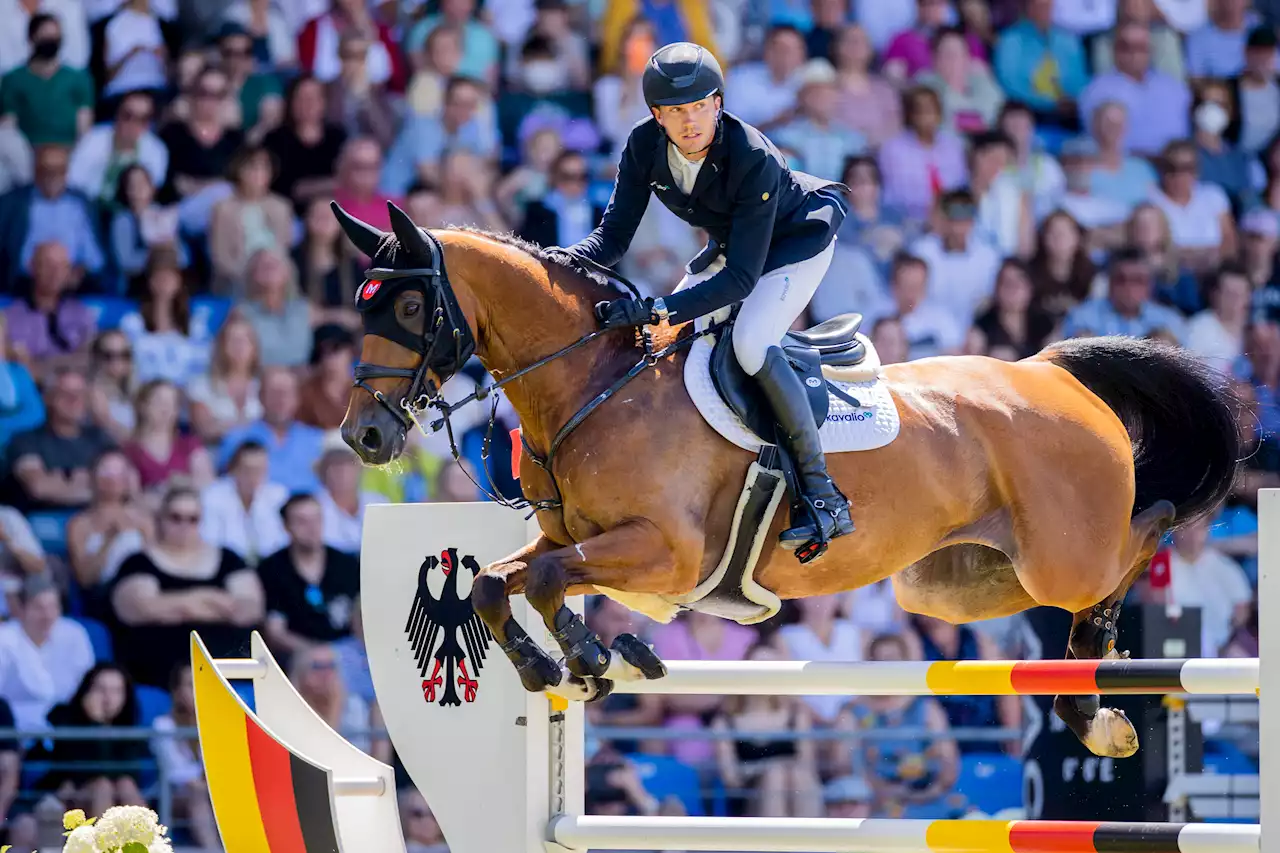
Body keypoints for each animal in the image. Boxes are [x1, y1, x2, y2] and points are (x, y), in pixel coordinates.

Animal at [332, 201, 1239, 758]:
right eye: (360, 305)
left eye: (408, 309)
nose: (364, 435)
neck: (595, 381)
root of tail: (1050, 370)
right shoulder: (575, 540)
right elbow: (496, 581)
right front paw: (559, 664)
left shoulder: (665, 552)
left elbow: (550, 579)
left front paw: (590, 654)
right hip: (957, 585)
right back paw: (1091, 695)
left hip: (1062, 556)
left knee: (1148, 524)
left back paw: (1098, 698)